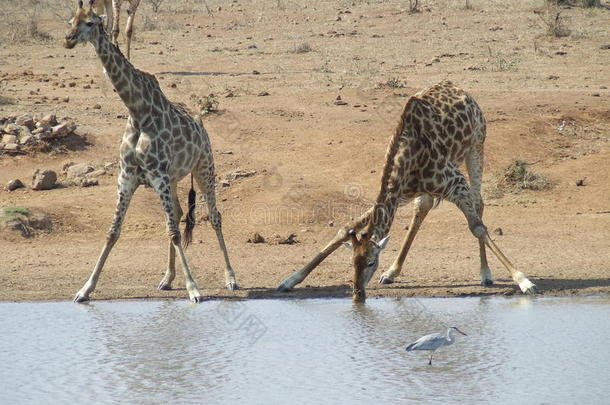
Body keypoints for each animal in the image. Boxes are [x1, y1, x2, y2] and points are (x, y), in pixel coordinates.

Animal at [64, 0, 238, 304]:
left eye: (90, 23)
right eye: (71, 21)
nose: (69, 40)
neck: (138, 111)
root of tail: (201, 123)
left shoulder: (157, 176)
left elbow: (174, 233)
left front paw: (193, 288)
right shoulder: (127, 177)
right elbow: (113, 232)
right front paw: (85, 289)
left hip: (204, 168)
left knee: (214, 217)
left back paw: (230, 278)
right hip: (174, 179)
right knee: (179, 213)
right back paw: (167, 278)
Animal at [278, 80, 536, 302]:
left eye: (371, 262)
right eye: (352, 262)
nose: (358, 295)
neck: (406, 157)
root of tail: (458, 88)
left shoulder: (455, 183)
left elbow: (477, 227)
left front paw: (524, 281)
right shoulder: (397, 194)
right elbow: (346, 228)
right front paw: (290, 280)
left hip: (476, 146)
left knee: (478, 202)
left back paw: (485, 273)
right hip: (425, 188)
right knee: (423, 209)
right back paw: (392, 272)